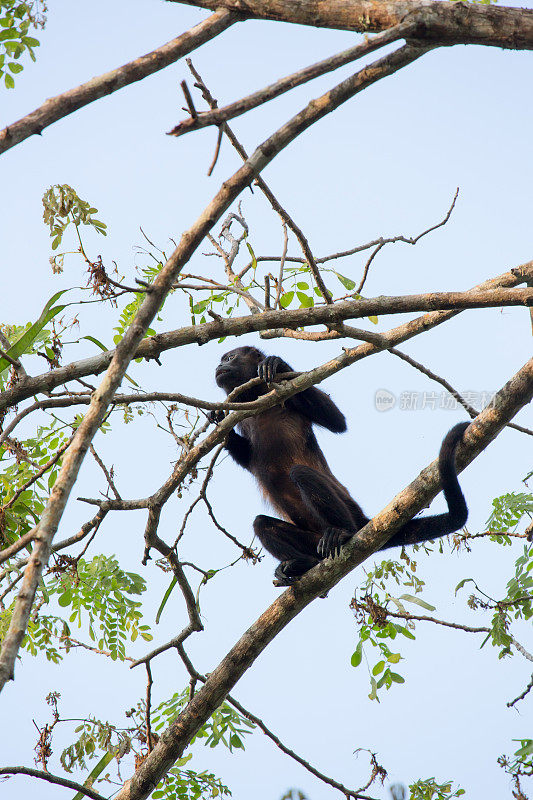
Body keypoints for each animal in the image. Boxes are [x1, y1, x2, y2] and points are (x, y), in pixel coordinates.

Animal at [212, 346, 466, 584]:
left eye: (230, 357)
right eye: (222, 359)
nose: (218, 365)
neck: (254, 395)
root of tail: (363, 520)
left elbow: (337, 421)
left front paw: (277, 363)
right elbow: (249, 459)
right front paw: (218, 420)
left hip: (348, 510)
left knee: (301, 473)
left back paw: (343, 534)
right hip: (314, 540)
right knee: (262, 524)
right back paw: (302, 564)